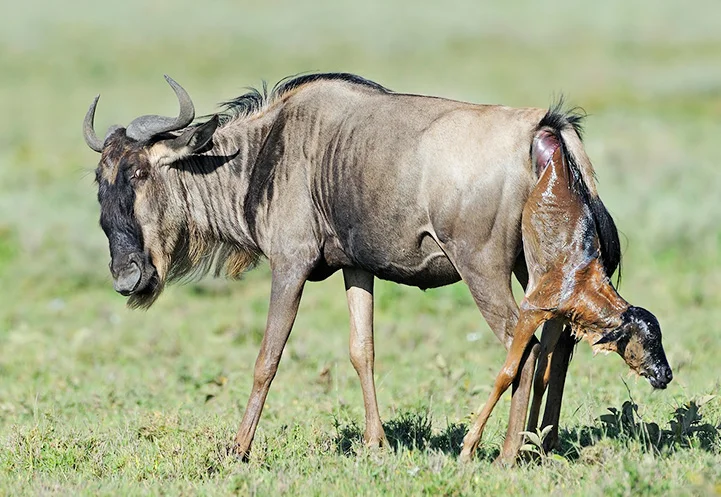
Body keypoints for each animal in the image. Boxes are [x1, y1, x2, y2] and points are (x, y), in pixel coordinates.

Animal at [458, 116, 672, 462]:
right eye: (649, 340)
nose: (666, 374)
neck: (581, 281)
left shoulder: (557, 318)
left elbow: (543, 376)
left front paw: (531, 444)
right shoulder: (531, 311)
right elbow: (507, 373)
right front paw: (469, 447)